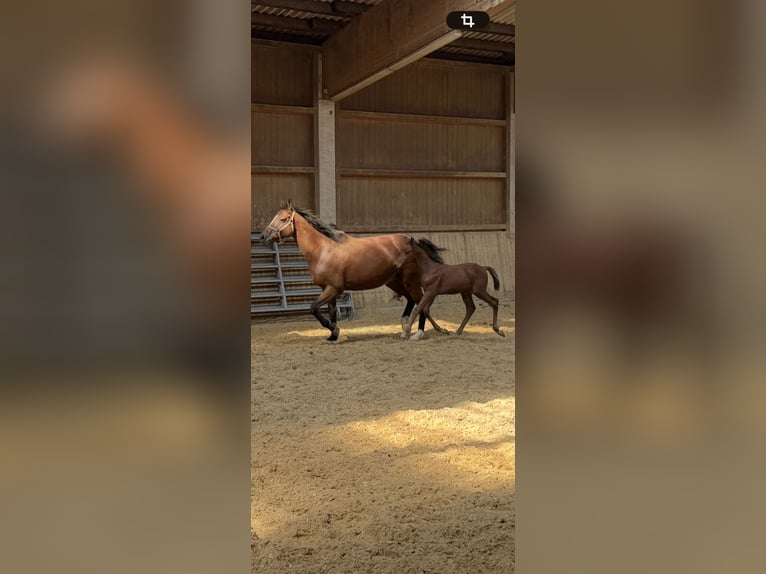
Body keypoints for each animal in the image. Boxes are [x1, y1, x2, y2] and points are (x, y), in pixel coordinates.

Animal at [260, 201, 449, 342]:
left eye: (283, 219)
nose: (263, 236)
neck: (323, 250)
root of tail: (413, 240)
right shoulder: (328, 289)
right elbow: (330, 312)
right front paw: (333, 336)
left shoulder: (333, 288)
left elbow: (313, 308)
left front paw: (334, 329)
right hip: (394, 281)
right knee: (411, 300)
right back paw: (405, 329)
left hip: (410, 281)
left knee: (420, 302)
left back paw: (418, 333)